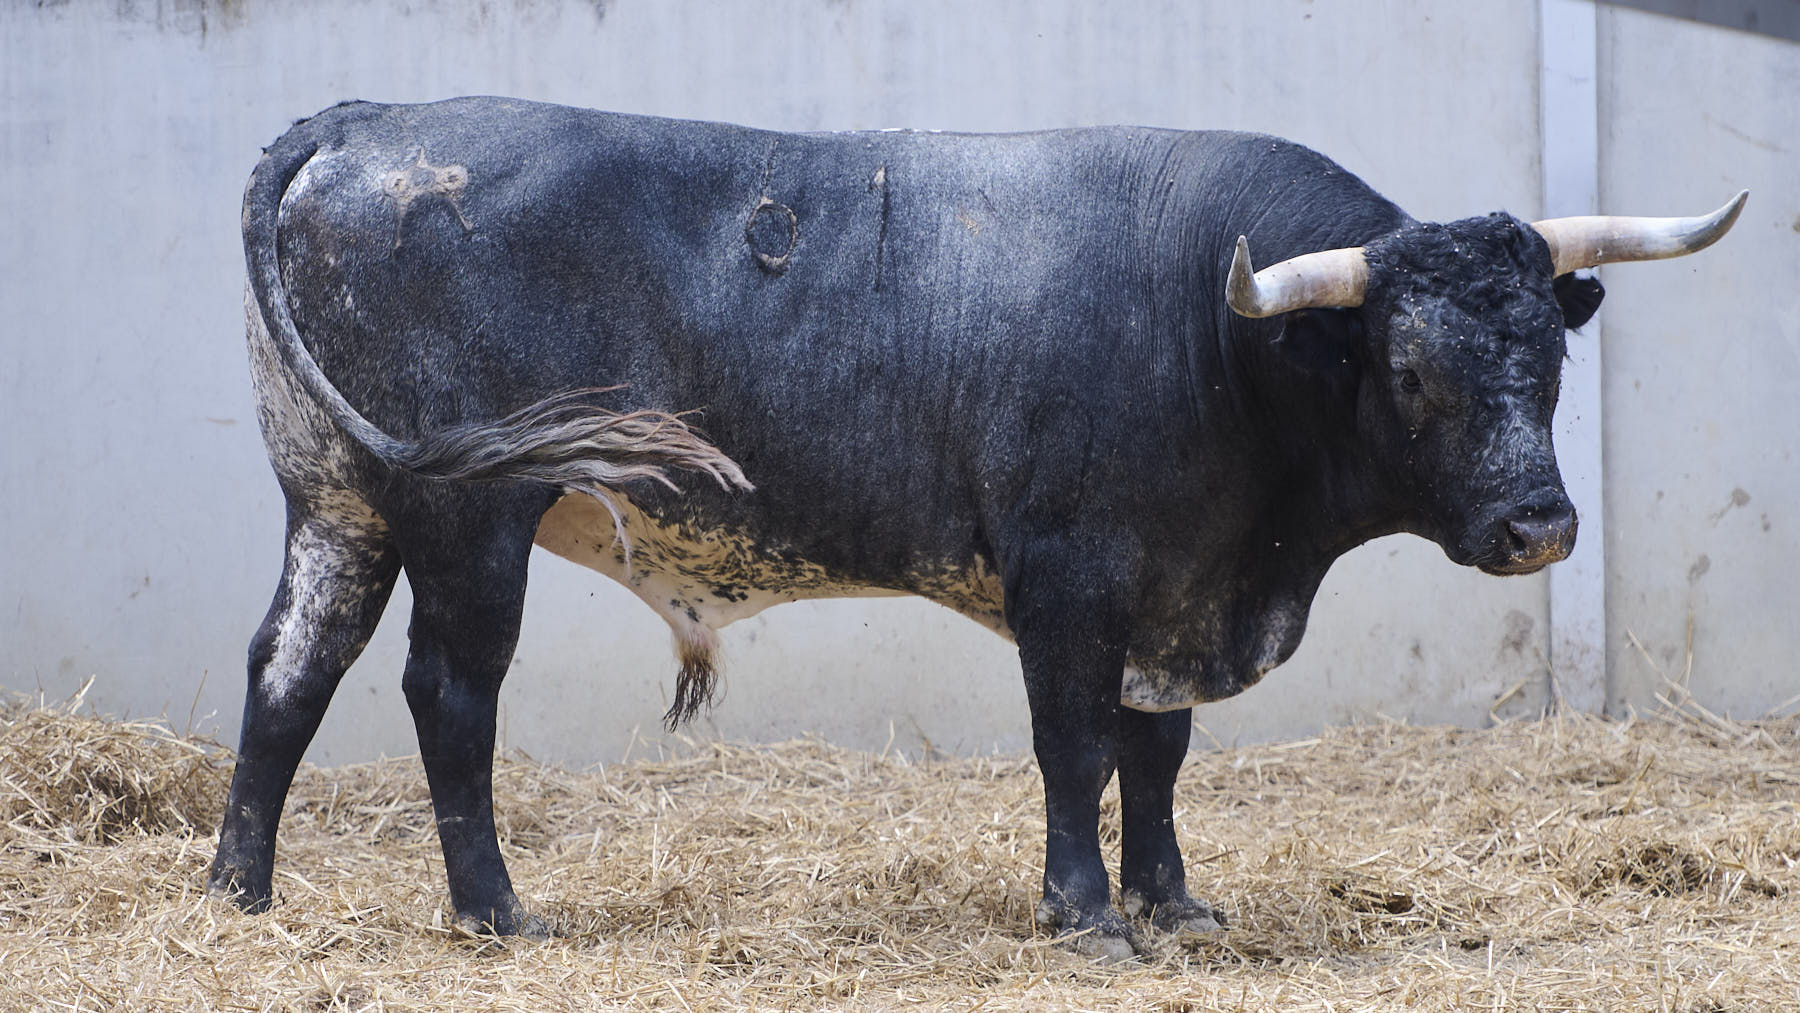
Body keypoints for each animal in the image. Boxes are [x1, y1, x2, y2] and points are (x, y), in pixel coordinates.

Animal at [210, 97, 1742, 957]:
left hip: (335, 502)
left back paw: (240, 893)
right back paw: (493, 912)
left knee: (290, 667)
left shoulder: (1172, 591)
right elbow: (1075, 745)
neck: (1215, 333)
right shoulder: (1069, 574)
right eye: (1413, 373)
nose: (1540, 524)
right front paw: (1086, 917)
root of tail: (363, 123)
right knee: (446, 691)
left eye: (1548, 358)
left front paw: (1174, 903)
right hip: (471, 516)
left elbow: (1157, 752)